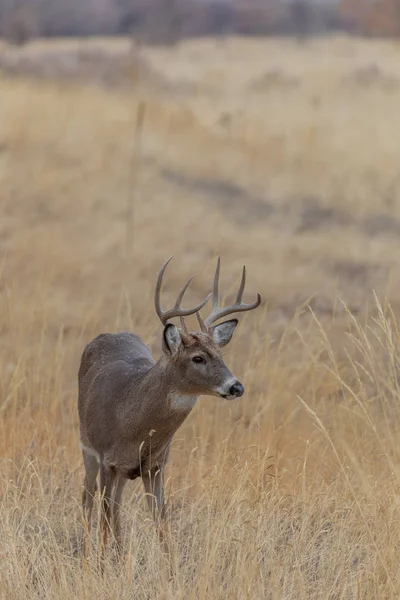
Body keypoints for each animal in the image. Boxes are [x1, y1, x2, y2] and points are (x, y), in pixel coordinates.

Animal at [78, 256, 260, 552]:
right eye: (198, 358)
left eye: (220, 354)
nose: (237, 387)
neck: (130, 419)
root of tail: (109, 334)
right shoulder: (106, 458)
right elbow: (102, 523)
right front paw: (100, 562)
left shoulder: (156, 466)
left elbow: (163, 527)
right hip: (87, 446)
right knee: (88, 498)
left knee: (115, 506)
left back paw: (120, 551)